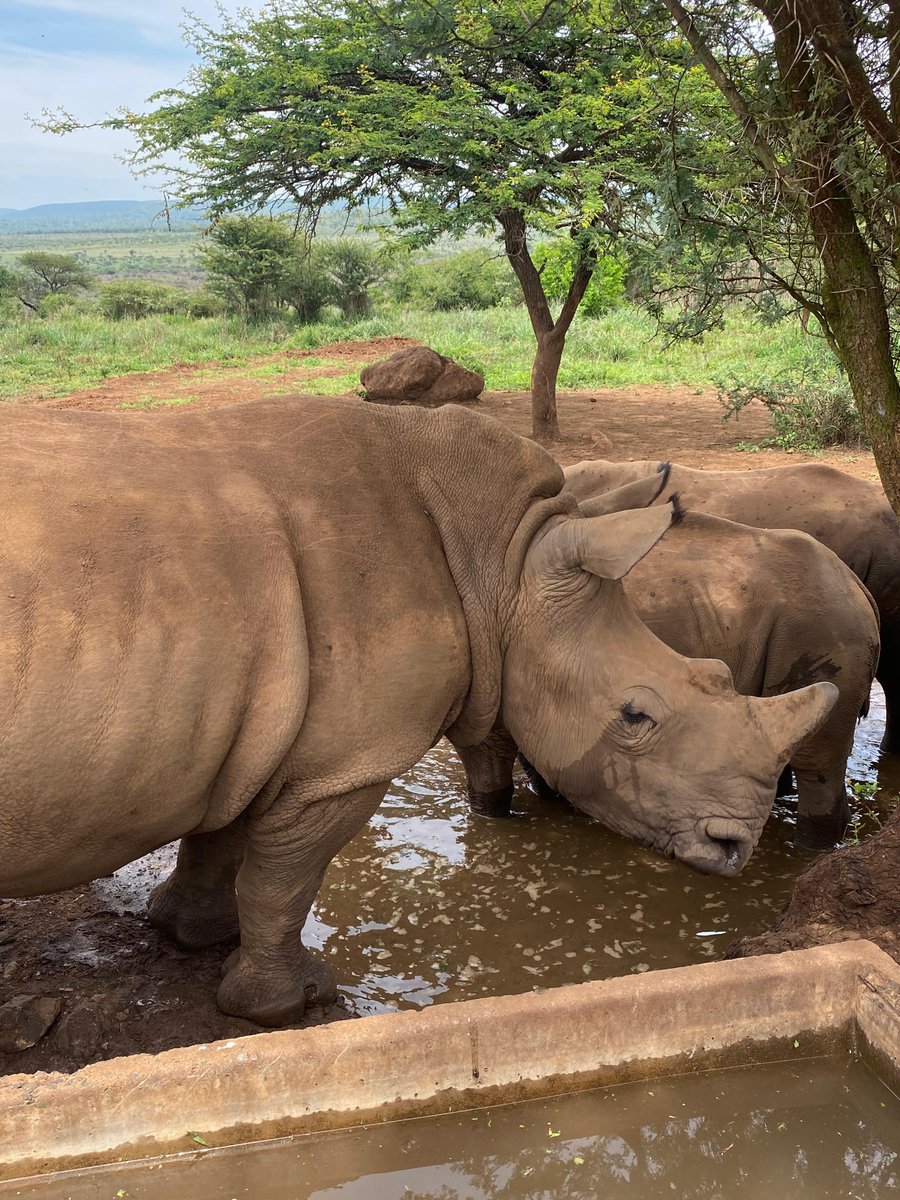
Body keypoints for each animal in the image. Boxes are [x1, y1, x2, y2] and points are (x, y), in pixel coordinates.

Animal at [0, 399, 835, 1026]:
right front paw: (294, 1001)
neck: (502, 559)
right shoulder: (342, 763)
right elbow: (283, 878)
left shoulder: (258, 732)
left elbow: (225, 842)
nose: (736, 845)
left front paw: (194, 935)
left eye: (719, 675)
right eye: (634, 716)